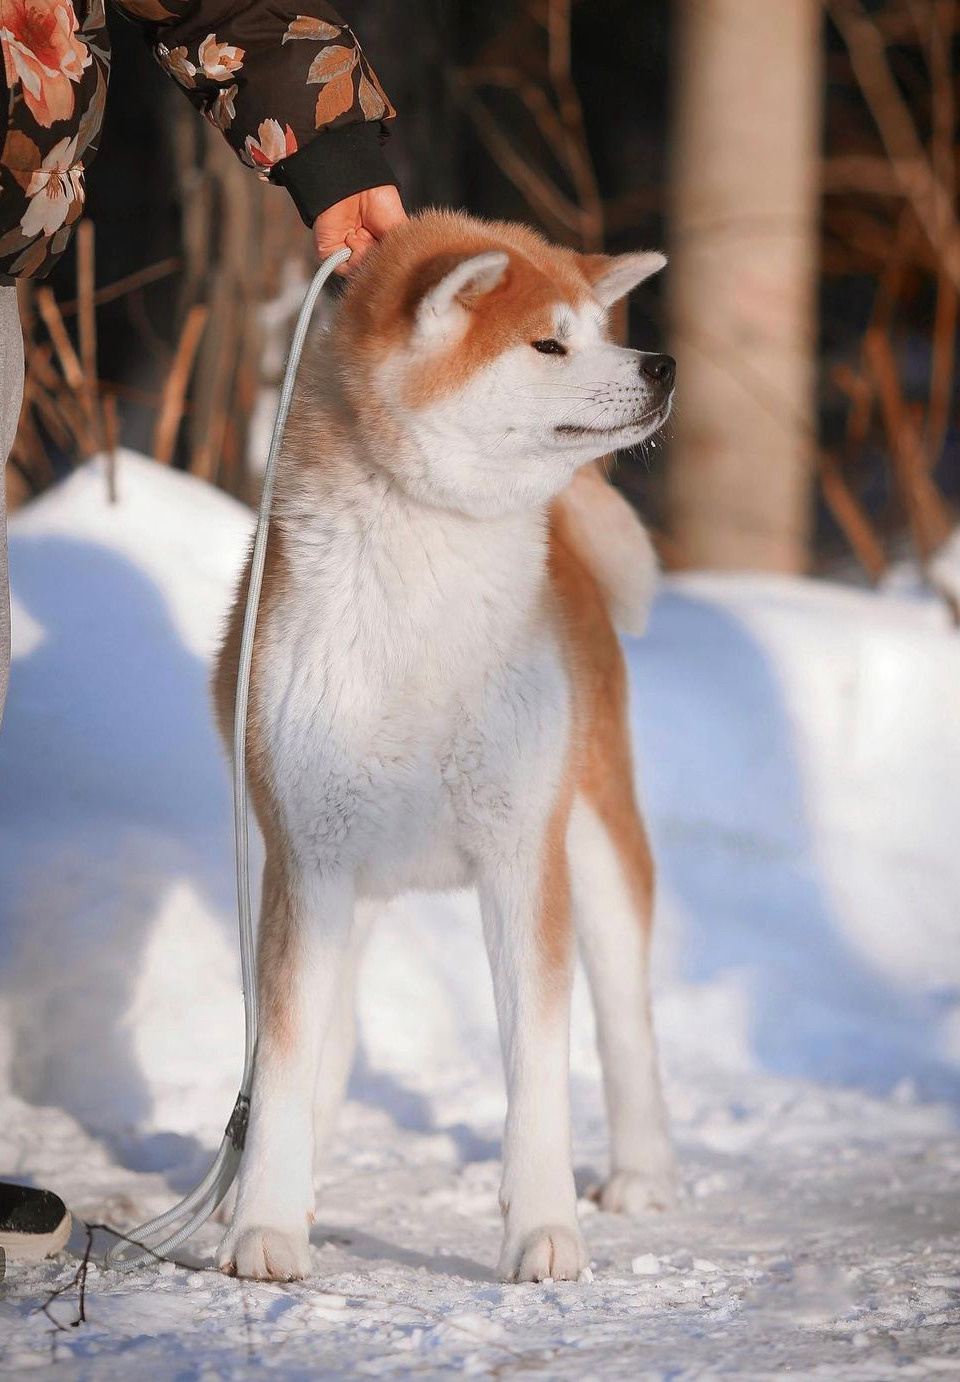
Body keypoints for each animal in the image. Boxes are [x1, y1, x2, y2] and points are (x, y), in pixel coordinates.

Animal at [212, 210, 676, 1283]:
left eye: (602, 328)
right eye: (548, 344)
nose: (662, 362)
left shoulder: (522, 860)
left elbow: (539, 1066)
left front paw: (544, 1230)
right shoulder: (307, 859)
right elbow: (286, 1056)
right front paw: (266, 1226)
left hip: (597, 846)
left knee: (627, 1026)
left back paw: (643, 1172)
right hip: (340, 887)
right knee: (326, 1039)